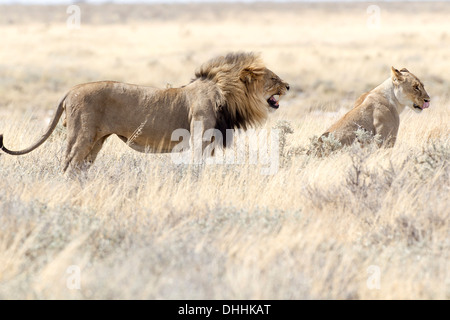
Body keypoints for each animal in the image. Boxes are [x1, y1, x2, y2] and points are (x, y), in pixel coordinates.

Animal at [0, 52, 288, 172]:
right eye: (273, 78)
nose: (288, 86)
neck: (227, 94)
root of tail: (71, 89)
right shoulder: (199, 137)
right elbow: (196, 168)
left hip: (96, 140)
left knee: (80, 167)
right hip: (81, 134)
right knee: (69, 164)